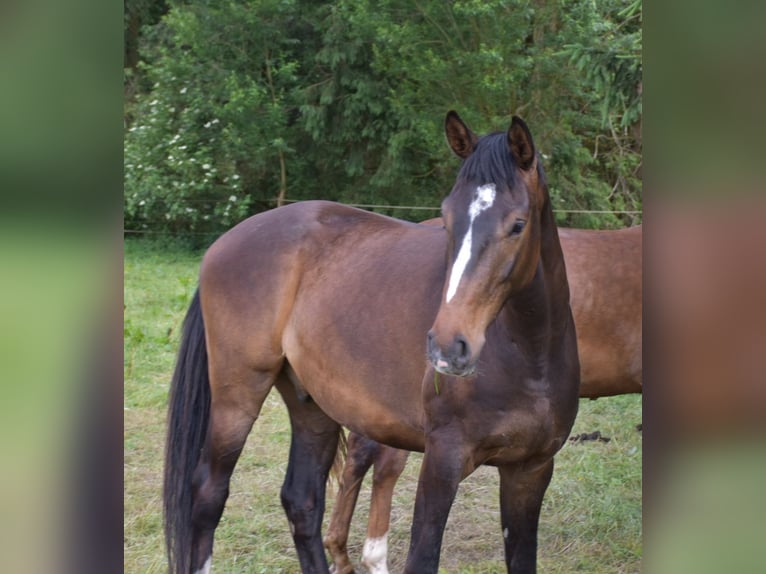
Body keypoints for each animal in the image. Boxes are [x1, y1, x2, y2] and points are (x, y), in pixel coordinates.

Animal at [164, 110, 584, 572]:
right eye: (447, 219)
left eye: (518, 225)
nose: (448, 346)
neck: (529, 356)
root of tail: (222, 243)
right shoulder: (442, 463)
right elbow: (422, 556)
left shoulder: (530, 471)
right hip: (238, 395)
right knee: (208, 494)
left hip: (312, 406)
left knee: (301, 500)